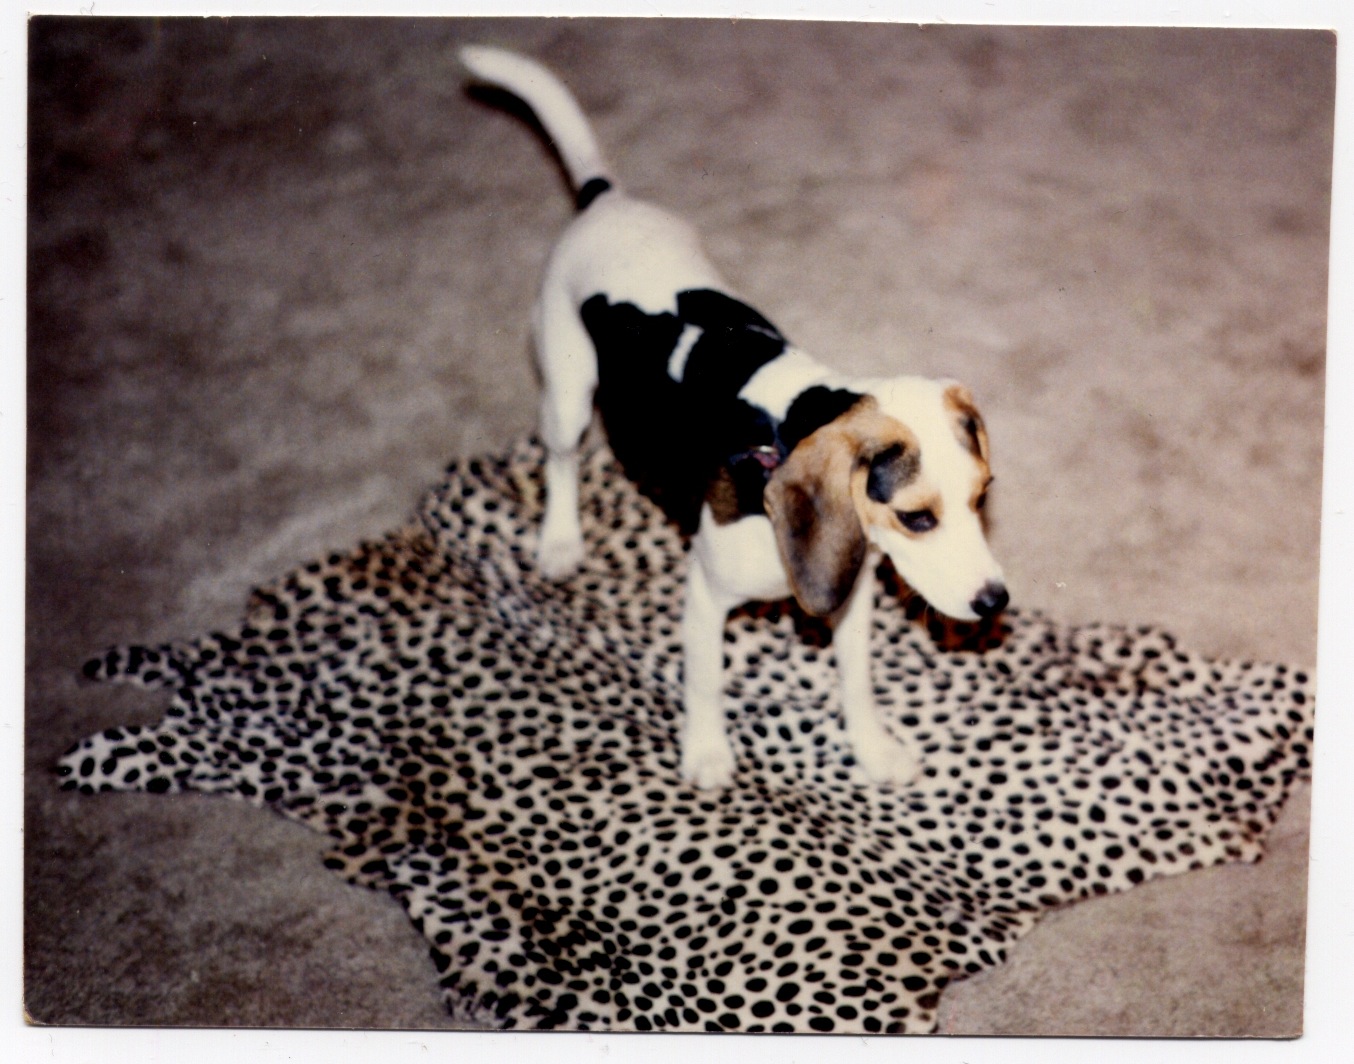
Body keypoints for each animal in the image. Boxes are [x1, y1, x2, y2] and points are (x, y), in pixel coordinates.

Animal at [463, 45, 1007, 785]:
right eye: (917, 518)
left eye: (983, 497)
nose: (995, 602)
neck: (789, 426)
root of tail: (607, 201)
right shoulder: (705, 594)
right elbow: (705, 681)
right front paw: (707, 751)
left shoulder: (852, 593)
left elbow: (857, 682)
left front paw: (871, 748)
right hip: (566, 388)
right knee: (562, 459)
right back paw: (560, 541)